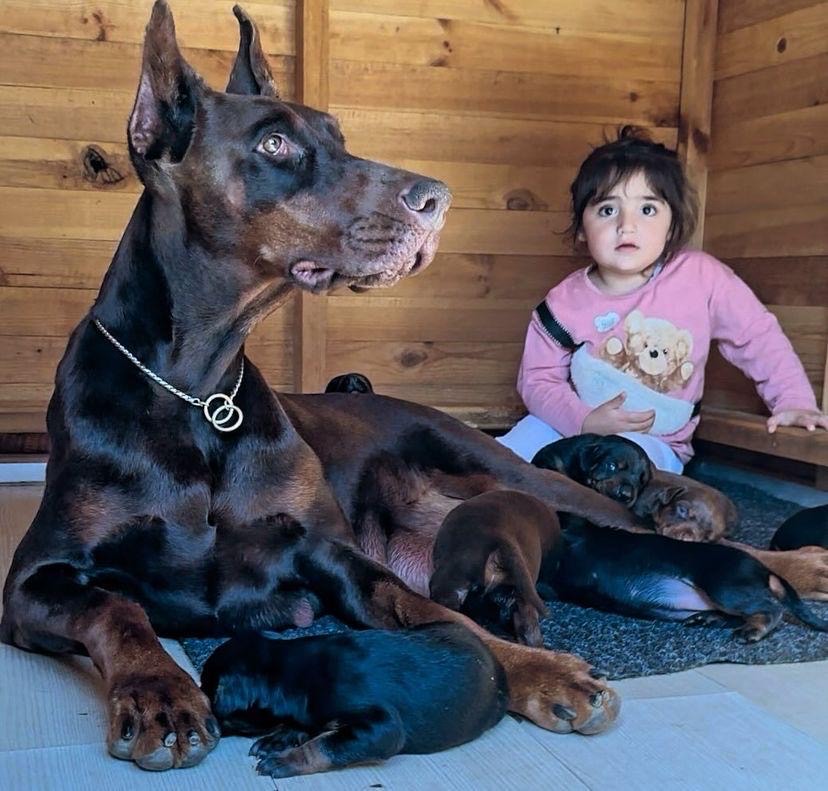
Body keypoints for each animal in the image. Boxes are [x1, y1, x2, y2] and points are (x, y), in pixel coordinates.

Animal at [201, 623, 508, 778]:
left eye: (209, 693)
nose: (206, 724)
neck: (291, 671)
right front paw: (278, 738)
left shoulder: (381, 726)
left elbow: (325, 745)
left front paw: (284, 760)